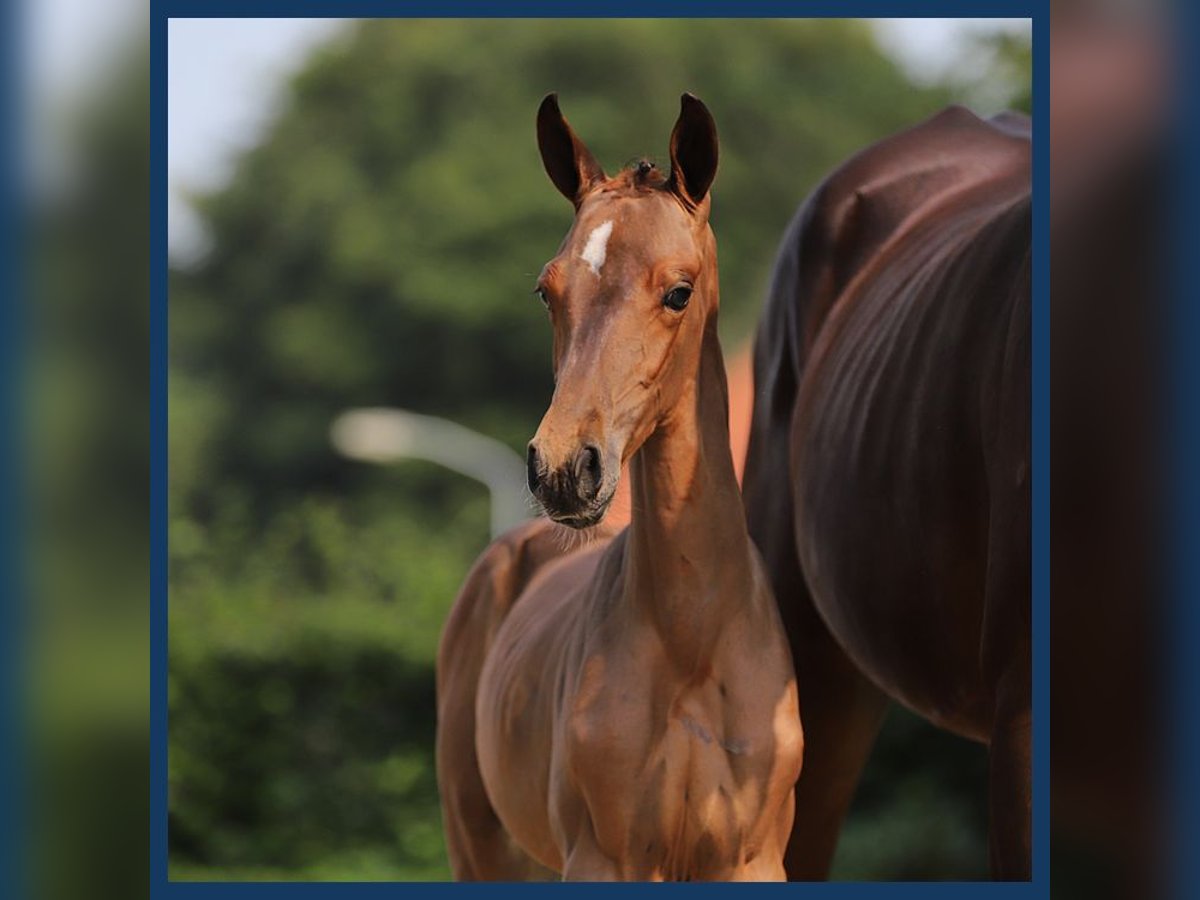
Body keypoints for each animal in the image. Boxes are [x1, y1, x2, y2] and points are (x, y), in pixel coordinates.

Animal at [436, 97, 801, 883]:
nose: (562, 468)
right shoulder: (605, 858)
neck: (693, 640)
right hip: (479, 846)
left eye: (678, 291)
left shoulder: (751, 859)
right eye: (547, 291)